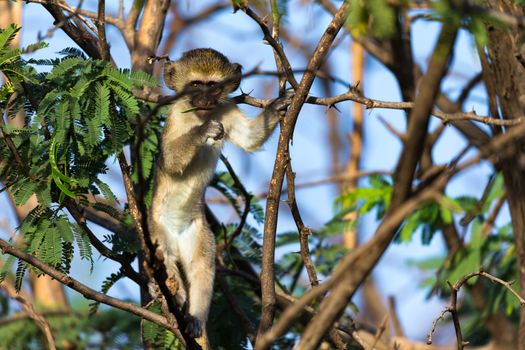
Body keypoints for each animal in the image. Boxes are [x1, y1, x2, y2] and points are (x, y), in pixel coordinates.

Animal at [148, 48, 290, 348]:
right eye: (195, 85)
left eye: (213, 86)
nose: (203, 100)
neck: (202, 115)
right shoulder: (176, 117)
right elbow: (171, 161)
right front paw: (203, 133)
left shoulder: (226, 111)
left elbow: (249, 139)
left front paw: (278, 105)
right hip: (157, 231)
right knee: (164, 259)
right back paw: (171, 293)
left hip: (198, 233)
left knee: (201, 268)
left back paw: (194, 319)